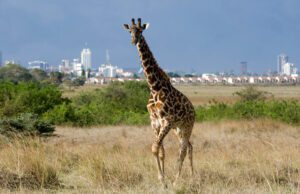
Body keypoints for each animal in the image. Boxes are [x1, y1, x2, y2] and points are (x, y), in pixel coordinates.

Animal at [123, 18, 196, 186]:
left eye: (140, 31)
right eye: (130, 31)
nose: (133, 40)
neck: (155, 87)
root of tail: (194, 110)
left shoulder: (166, 121)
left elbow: (155, 147)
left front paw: (164, 181)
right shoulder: (155, 122)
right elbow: (160, 150)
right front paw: (163, 179)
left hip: (187, 126)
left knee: (183, 150)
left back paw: (178, 181)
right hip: (178, 129)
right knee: (189, 146)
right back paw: (192, 178)